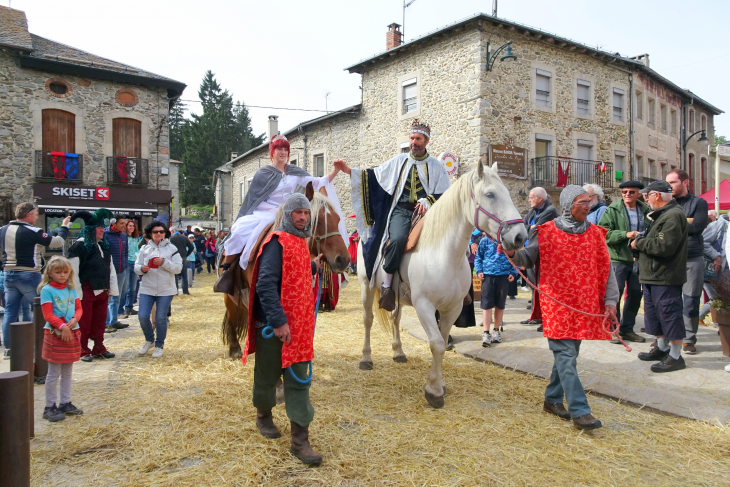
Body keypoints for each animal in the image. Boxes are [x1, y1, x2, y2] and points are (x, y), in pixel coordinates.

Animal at [219, 183, 350, 358]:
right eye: (318, 220)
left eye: (337, 219)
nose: (343, 260)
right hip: (230, 295)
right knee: (232, 315)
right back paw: (235, 348)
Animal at [356, 163, 528, 408]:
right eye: (490, 194)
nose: (520, 236)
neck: (444, 253)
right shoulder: (424, 306)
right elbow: (436, 343)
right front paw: (434, 391)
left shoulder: (452, 308)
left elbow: (443, 342)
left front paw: (438, 384)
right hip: (366, 286)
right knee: (368, 320)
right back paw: (366, 358)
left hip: (397, 296)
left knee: (395, 318)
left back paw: (398, 352)